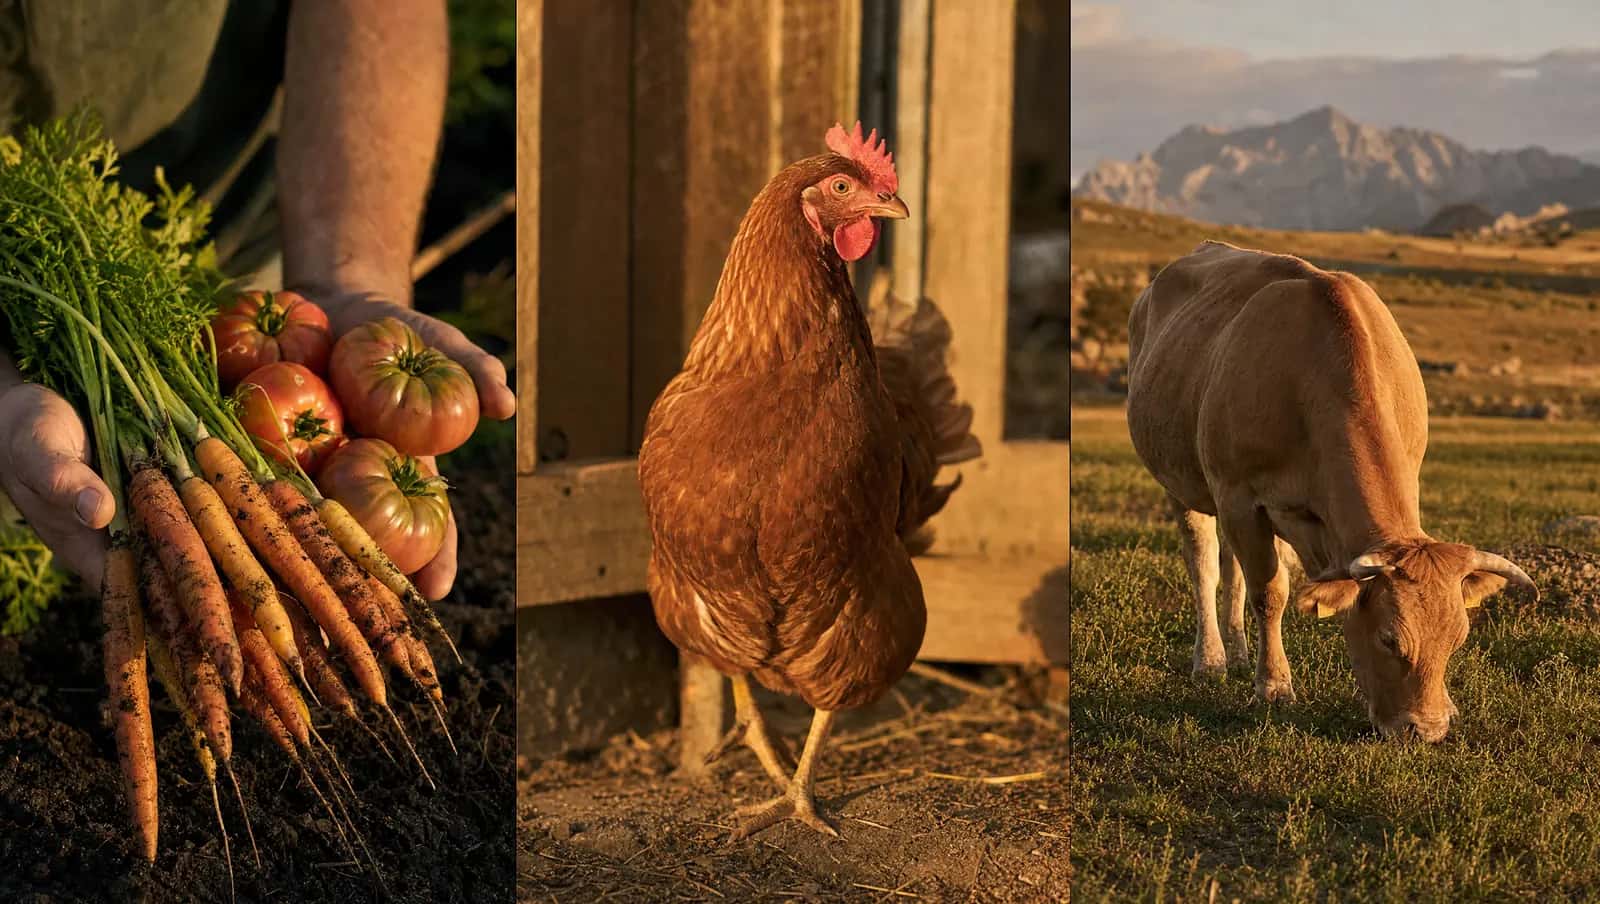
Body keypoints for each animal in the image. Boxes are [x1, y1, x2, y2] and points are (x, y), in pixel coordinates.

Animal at [1125, 240, 1535, 742]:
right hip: (1183, 484)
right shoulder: (1240, 497)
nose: (1427, 729)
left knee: (1231, 566)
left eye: (1457, 638)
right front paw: (1274, 686)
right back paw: (1213, 660)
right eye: (1389, 639)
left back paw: (1239, 653)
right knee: (1203, 562)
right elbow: (1270, 592)